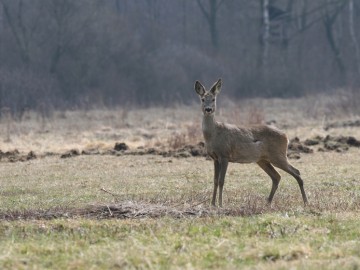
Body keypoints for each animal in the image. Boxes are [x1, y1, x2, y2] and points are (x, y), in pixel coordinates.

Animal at [195, 78, 308, 207]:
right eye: (203, 99)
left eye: (213, 99)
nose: (208, 109)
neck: (213, 134)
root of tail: (286, 136)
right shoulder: (214, 158)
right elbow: (214, 180)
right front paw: (213, 203)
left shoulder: (224, 155)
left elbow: (221, 181)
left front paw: (220, 204)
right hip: (262, 160)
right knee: (276, 177)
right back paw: (267, 203)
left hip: (278, 155)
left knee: (296, 172)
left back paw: (305, 202)